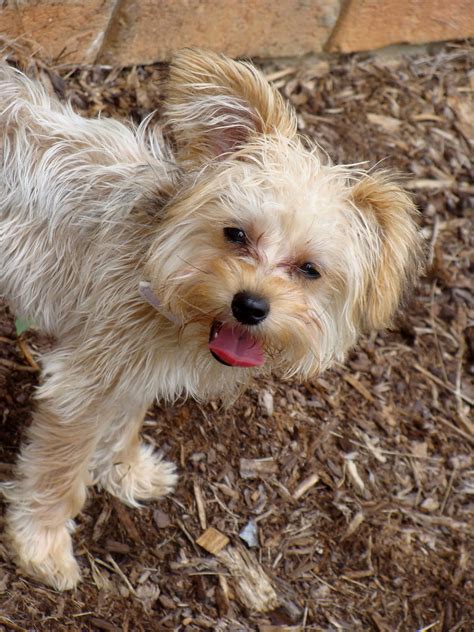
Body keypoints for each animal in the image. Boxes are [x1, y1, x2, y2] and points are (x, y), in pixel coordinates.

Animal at [0, 50, 422, 592]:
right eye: (235, 233)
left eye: (310, 269)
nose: (251, 305)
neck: (153, 265)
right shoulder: (82, 383)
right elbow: (59, 467)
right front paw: (42, 543)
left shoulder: (133, 368)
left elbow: (127, 418)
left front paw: (126, 469)